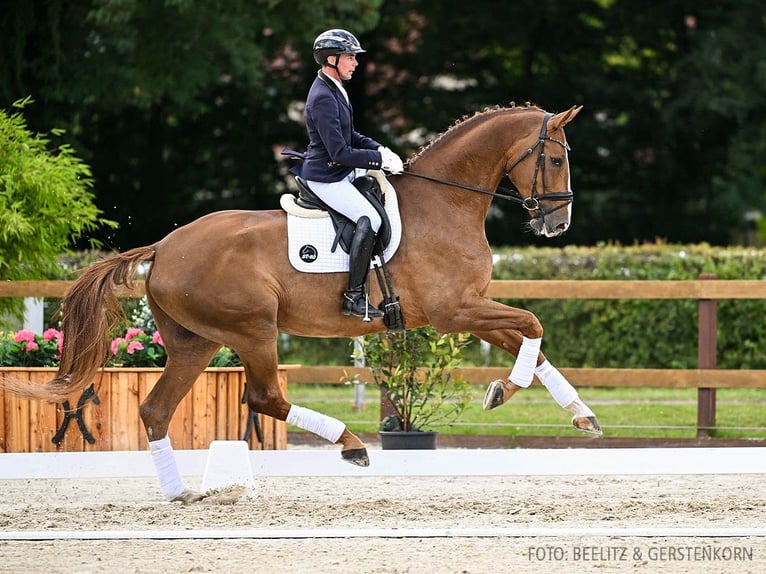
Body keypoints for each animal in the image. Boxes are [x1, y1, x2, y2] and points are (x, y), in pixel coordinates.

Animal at [0, 102, 600, 504]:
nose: (558, 222)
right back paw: (352, 444)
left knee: (156, 410)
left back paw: (179, 493)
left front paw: (578, 414)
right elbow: (533, 324)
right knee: (264, 398)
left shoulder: (469, 306)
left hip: (197, 343)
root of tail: (164, 247)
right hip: (253, 330)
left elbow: (533, 342)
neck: (445, 201)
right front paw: (504, 391)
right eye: (555, 158)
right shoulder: (455, 310)